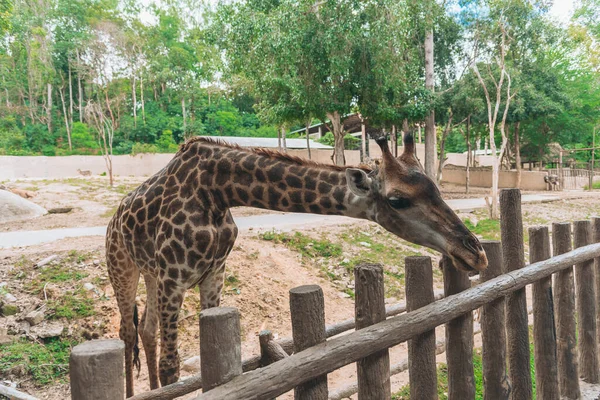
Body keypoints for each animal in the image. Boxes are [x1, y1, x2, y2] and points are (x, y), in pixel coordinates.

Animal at [105, 133, 486, 396]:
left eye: (436, 187)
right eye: (398, 200)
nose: (475, 253)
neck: (217, 192)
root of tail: (114, 219)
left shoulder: (213, 274)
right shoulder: (175, 276)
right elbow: (171, 365)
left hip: (152, 274)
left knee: (146, 330)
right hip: (124, 267)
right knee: (127, 332)